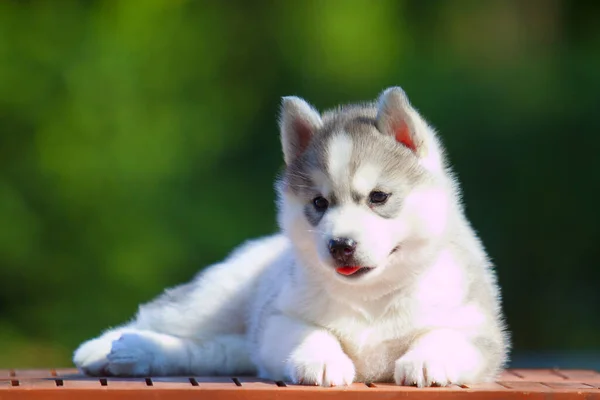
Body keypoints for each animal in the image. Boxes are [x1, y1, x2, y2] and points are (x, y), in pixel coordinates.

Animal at [72, 87, 508, 388]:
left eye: (378, 197)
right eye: (319, 202)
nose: (340, 245)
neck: (370, 300)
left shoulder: (479, 326)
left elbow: (447, 334)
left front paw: (428, 358)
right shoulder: (278, 317)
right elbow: (310, 331)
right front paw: (322, 360)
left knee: (217, 350)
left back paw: (136, 352)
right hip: (212, 300)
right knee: (166, 316)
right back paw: (107, 347)